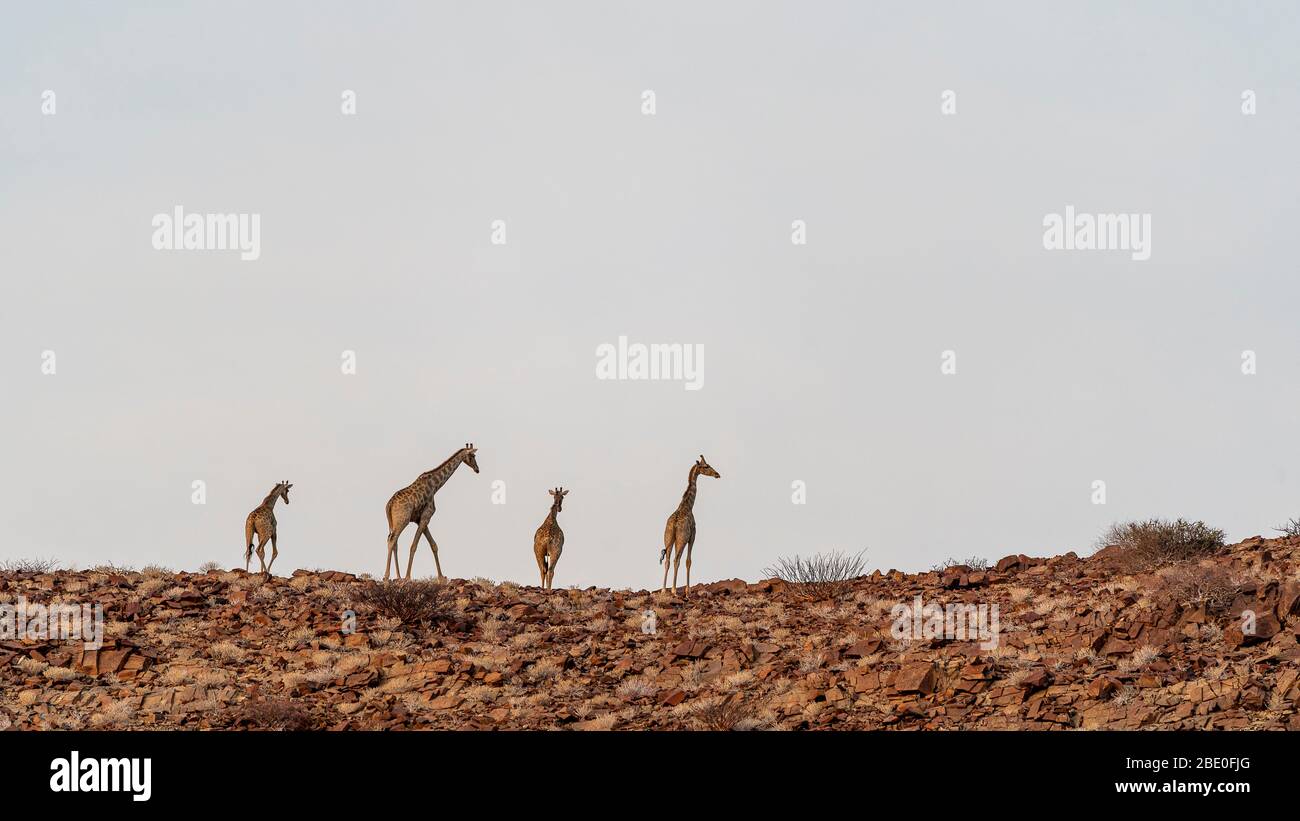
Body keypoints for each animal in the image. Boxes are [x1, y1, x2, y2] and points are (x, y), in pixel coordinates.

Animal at [384, 444, 480, 581]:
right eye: (472, 456)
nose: (477, 469)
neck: (435, 486)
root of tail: (389, 505)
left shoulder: (421, 520)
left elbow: (434, 545)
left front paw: (441, 577)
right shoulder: (426, 517)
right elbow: (414, 546)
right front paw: (408, 577)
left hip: (393, 522)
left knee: (394, 542)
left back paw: (398, 576)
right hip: (403, 520)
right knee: (392, 540)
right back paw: (387, 577)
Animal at [660, 455, 720, 596]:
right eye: (706, 466)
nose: (717, 474)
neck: (687, 506)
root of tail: (675, 525)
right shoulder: (692, 536)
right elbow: (689, 561)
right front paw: (688, 591)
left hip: (669, 538)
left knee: (668, 560)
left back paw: (664, 590)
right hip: (681, 540)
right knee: (677, 560)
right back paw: (674, 590)